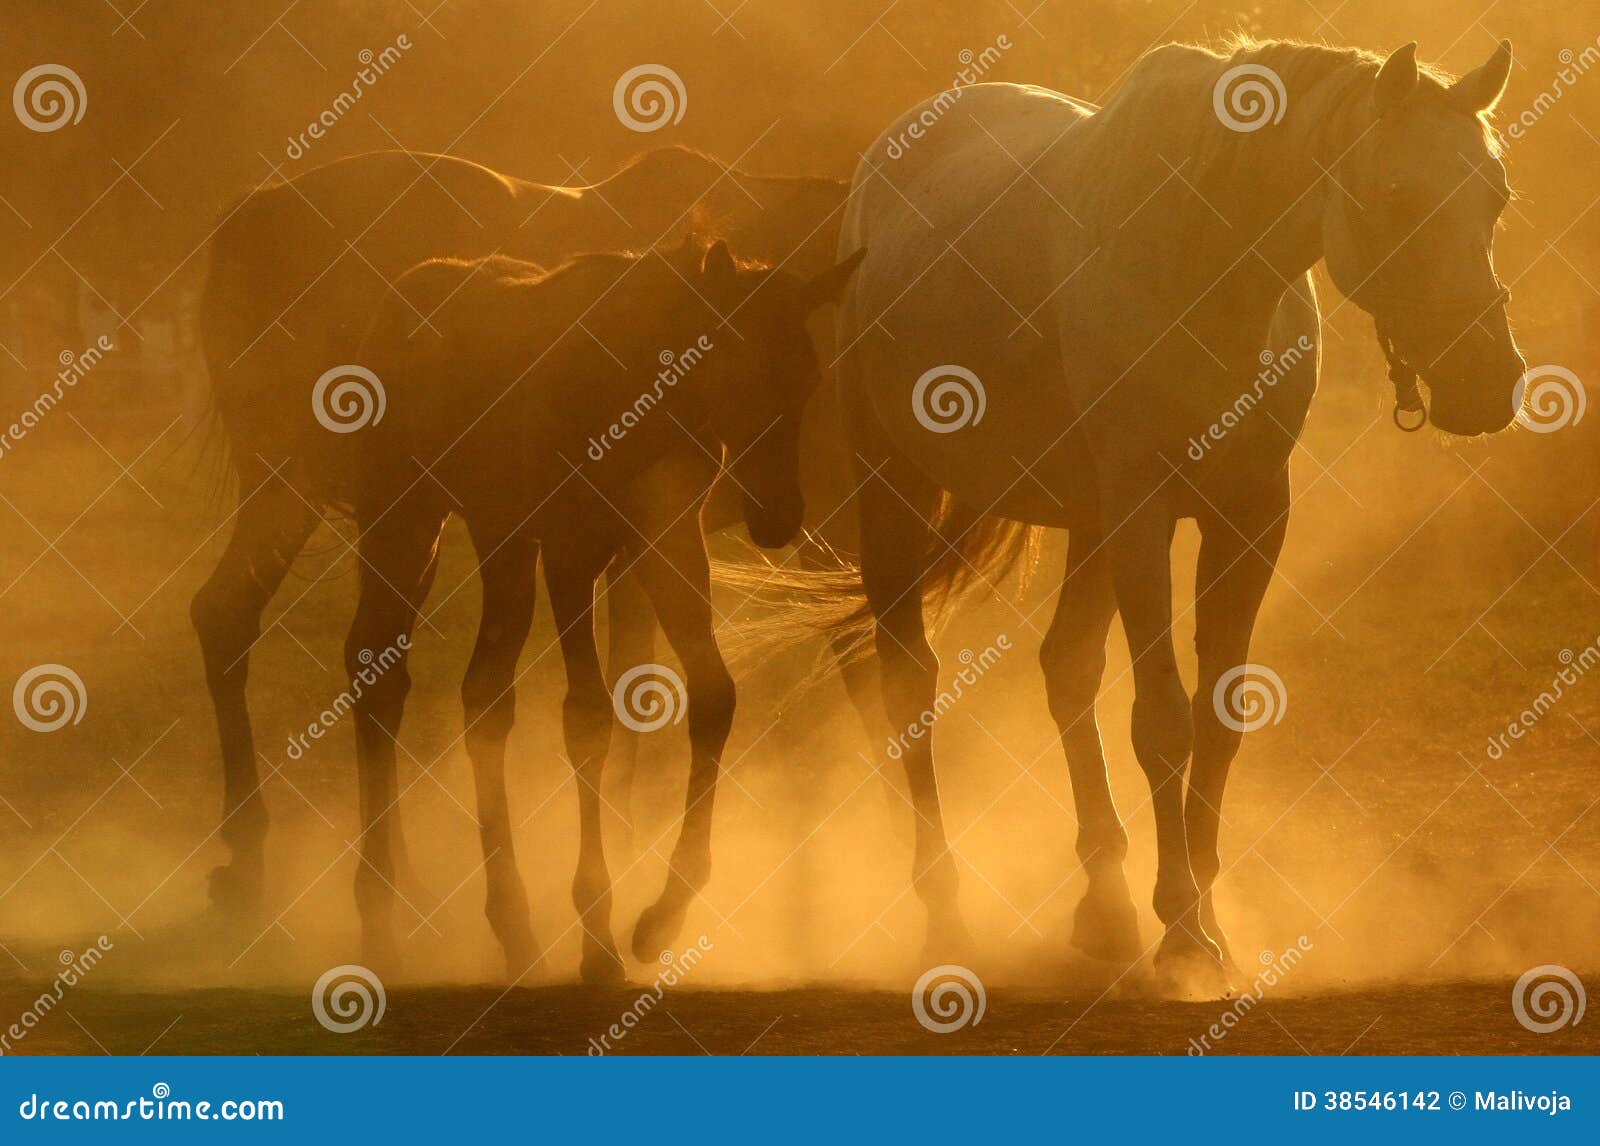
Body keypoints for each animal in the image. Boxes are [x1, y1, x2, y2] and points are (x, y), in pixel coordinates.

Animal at [192, 147, 860, 958]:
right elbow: (593, 714)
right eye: (733, 371)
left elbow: (709, 695)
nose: (778, 515)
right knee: (325, 647)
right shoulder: (576, 546)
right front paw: (597, 910)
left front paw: (663, 907)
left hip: (466, 530)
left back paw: (437, 892)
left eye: (811, 376)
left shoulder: (664, 537)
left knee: (426, 679)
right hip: (354, 497)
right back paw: (354, 883)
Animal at [815, 38, 1524, 993]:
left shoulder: (1250, 513)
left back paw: (1106, 910)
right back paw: (946, 918)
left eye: (1495, 196)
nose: (1487, 381)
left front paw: (1208, 922)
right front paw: (1183, 929)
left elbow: (1220, 718)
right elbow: (1163, 721)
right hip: (897, 485)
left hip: (1088, 524)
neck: (1204, 262)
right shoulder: (1144, 510)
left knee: (1066, 668)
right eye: (1395, 193)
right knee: (907, 681)